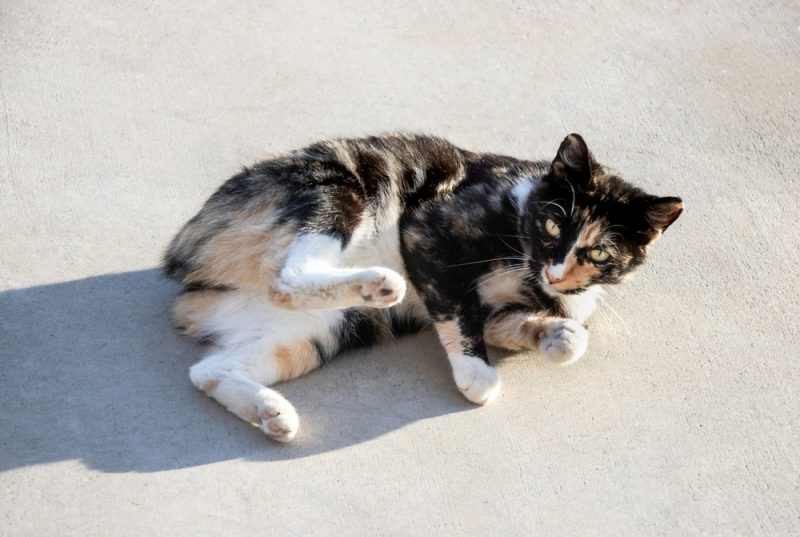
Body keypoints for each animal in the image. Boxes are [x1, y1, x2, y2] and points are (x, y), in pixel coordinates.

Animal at [161, 133, 680, 440]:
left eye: (599, 254)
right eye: (553, 224)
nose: (555, 272)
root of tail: (186, 269)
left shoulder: (506, 311)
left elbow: (518, 326)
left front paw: (559, 337)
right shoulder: (427, 232)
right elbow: (456, 310)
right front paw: (476, 374)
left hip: (321, 330)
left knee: (207, 370)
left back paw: (272, 414)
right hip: (336, 186)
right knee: (287, 280)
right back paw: (379, 284)